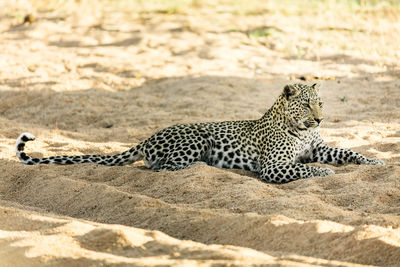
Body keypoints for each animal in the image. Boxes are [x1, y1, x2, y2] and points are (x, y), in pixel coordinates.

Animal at [15, 84, 384, 184]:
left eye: (321, 103)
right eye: (306, 105)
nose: (320, 119)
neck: (301, 132)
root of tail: (148, 137)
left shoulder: (319, 147)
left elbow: (347, 152)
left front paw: (375, 162)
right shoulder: (273, 167)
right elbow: (304, 168)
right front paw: (323, 173)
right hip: (195, 140)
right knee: (159, 169)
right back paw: (202, 168)